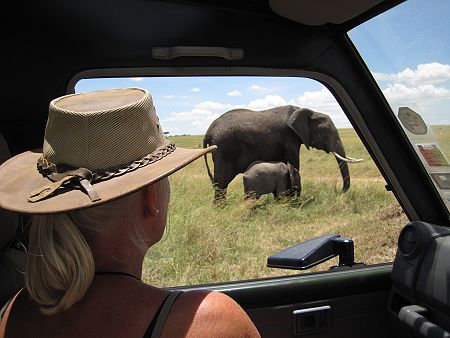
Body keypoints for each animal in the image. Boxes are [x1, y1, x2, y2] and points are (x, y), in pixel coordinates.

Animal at [204, 104, 362, 202]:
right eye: (323, 133)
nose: (339, 191)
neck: (304, 110)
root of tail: (209, 130)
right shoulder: (289, 138)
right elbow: (294, 162)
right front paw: (293, 200)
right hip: (224, 148)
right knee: (221, 182)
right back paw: (221, 209)